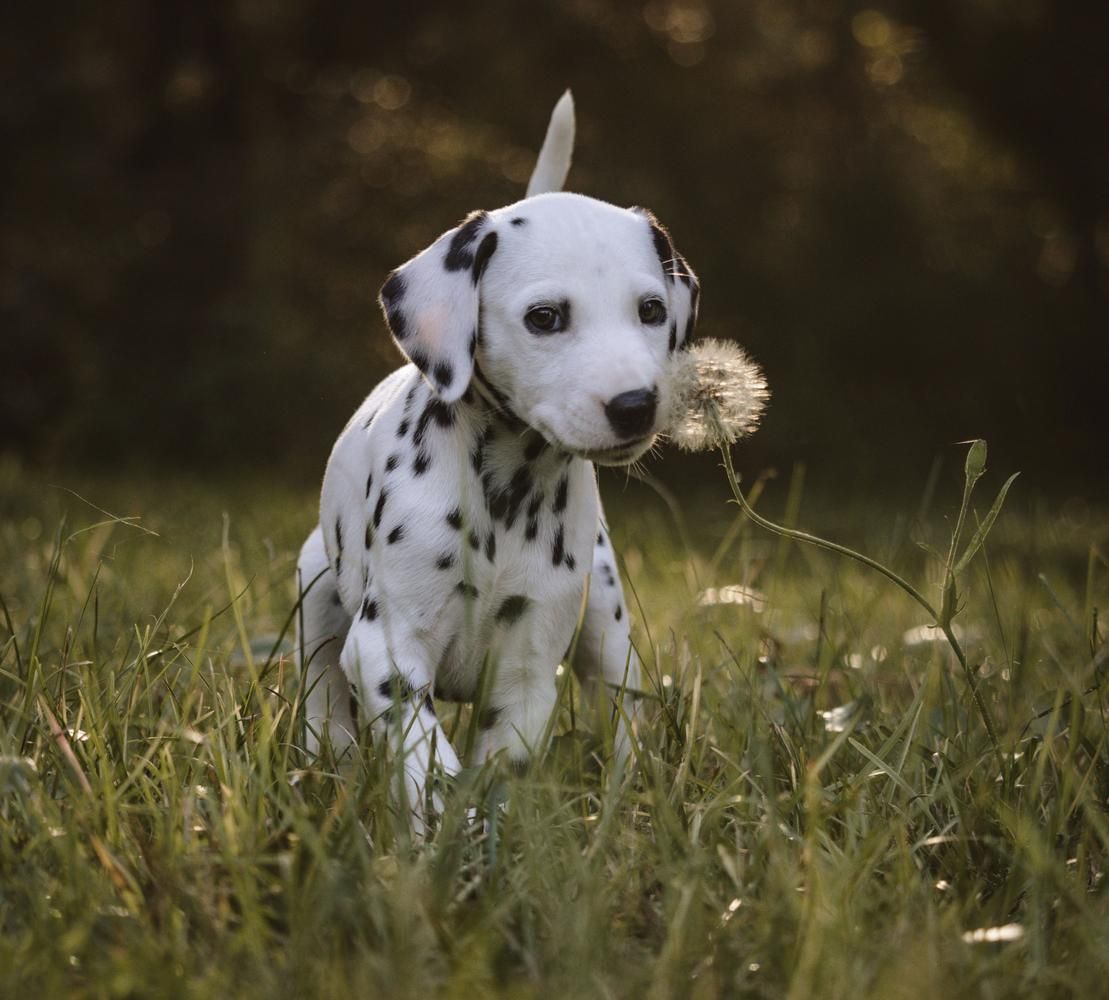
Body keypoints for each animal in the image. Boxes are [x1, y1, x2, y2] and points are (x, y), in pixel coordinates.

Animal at [299, 94, 696, 829]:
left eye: (652, 310)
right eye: (544, 317)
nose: (635, 405)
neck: (507, 491)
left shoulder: (526, 677)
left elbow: (493, 773)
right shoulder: (386, 649)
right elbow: (425, 758)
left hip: (607, 625)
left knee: (623, 712)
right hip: (315, 590)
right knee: (322, 693)